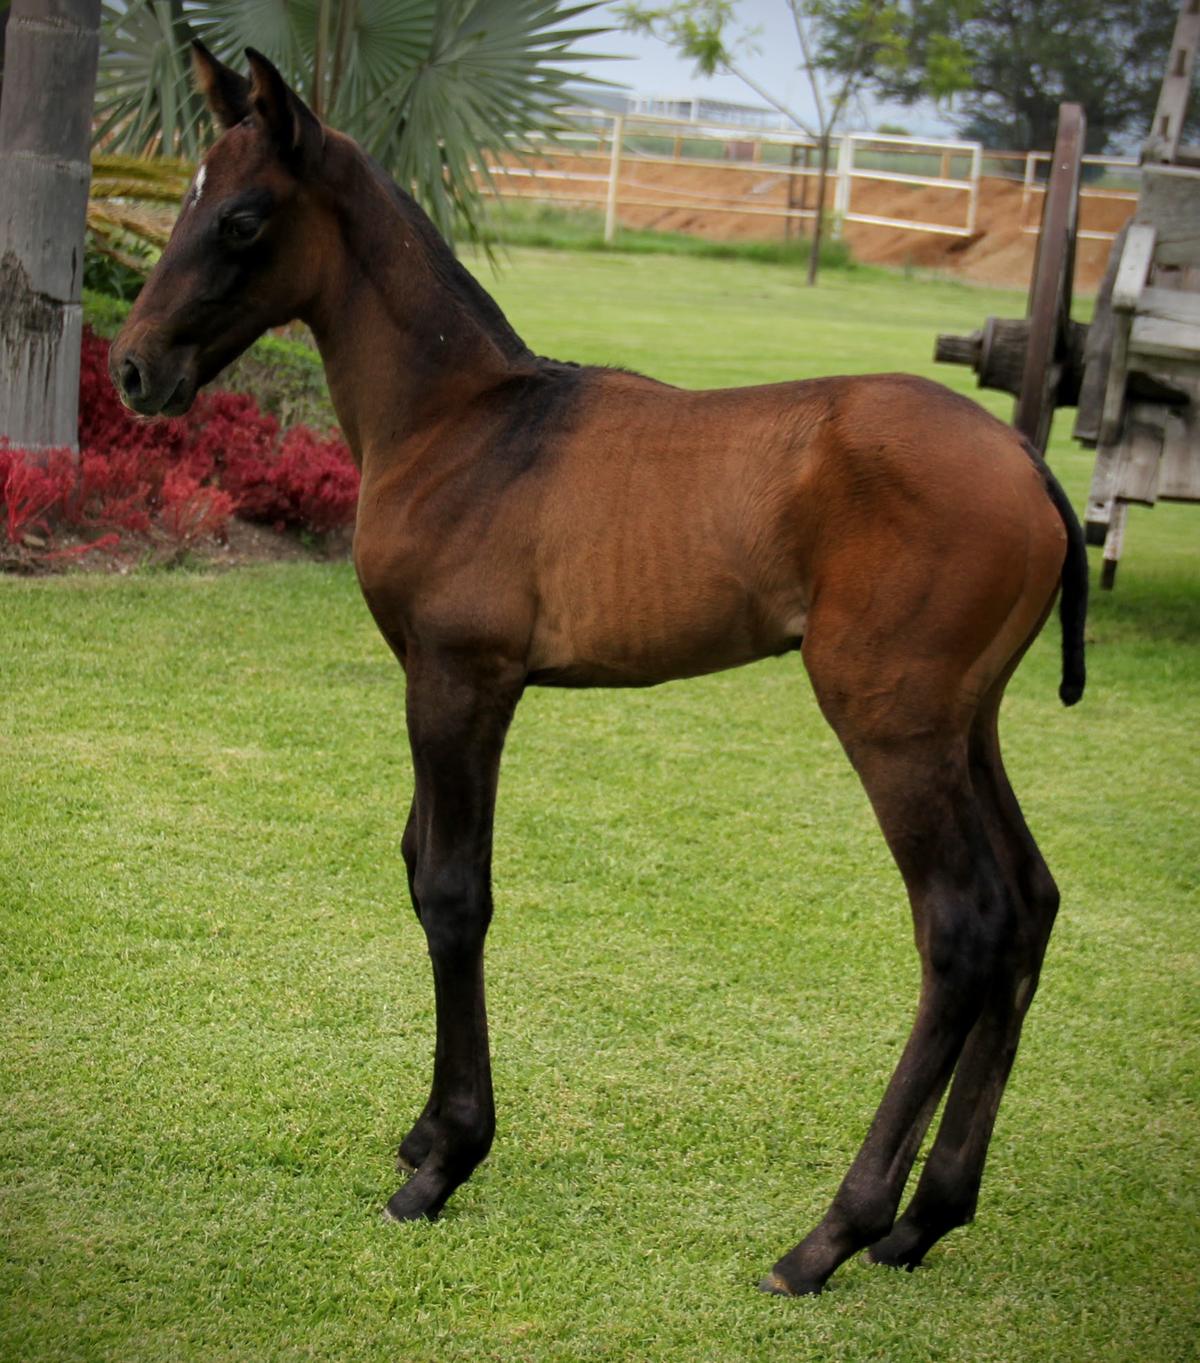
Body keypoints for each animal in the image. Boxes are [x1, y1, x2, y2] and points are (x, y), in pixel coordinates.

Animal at [108, 44, 1088, 1297]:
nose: (135, 369)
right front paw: (424, 1135)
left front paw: (445, 1161)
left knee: (962, 928)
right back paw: (928, 1218)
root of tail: (1027, 463)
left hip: (890, 723)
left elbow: (452, 892)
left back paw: (832, 1234)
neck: (464, 424)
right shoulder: (441, 682)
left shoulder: (462, 678)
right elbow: (419, 859)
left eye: (237, 219)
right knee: (1028, 906)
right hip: (969, 725)